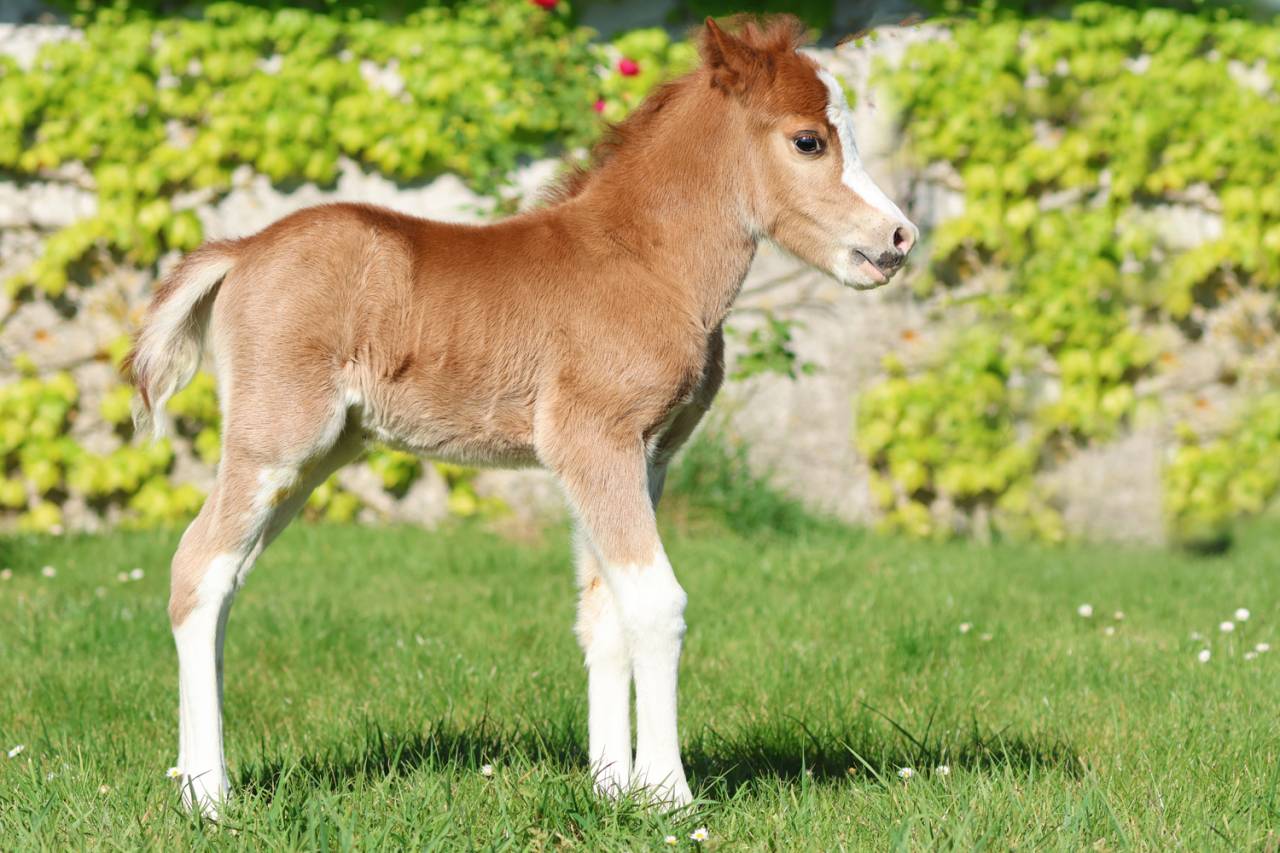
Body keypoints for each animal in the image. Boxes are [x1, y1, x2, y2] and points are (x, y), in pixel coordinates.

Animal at [125, 14, 916, 815]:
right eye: (808, 141)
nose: (899, 239)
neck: (645, 261)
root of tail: (243, 247)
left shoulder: (643, 456)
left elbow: (604, 614)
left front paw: (612, 788)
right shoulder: (594, 441)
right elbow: (655, 604)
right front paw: (668, 796)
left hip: (317, 456)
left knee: (221, 577)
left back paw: (195, 780)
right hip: (278, 440)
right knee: (199, 567)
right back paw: (209, 797)